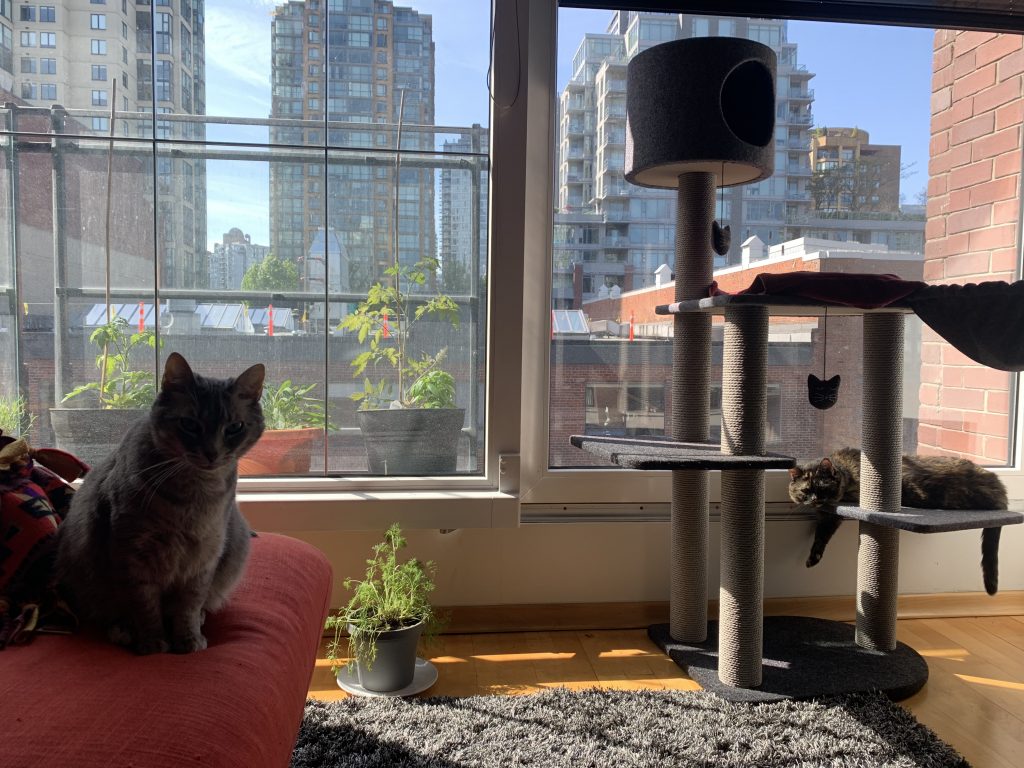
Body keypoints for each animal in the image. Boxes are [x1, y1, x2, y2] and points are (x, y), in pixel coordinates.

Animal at [56, 354, 266, 655]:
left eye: (234, 428)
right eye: (189, 424)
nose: (212, 453)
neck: (193, 497)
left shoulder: (205, 556)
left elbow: (189, 605)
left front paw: (188, 639)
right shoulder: (133, 554)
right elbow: (145, 606)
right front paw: (153, 642)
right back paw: (124, 631)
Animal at [786, 448, 1003, 598]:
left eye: (822, 488)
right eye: (805, 491)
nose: (815, 500)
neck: (845, 470)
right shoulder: (829, 517)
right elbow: (821, 537)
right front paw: (813, 557)